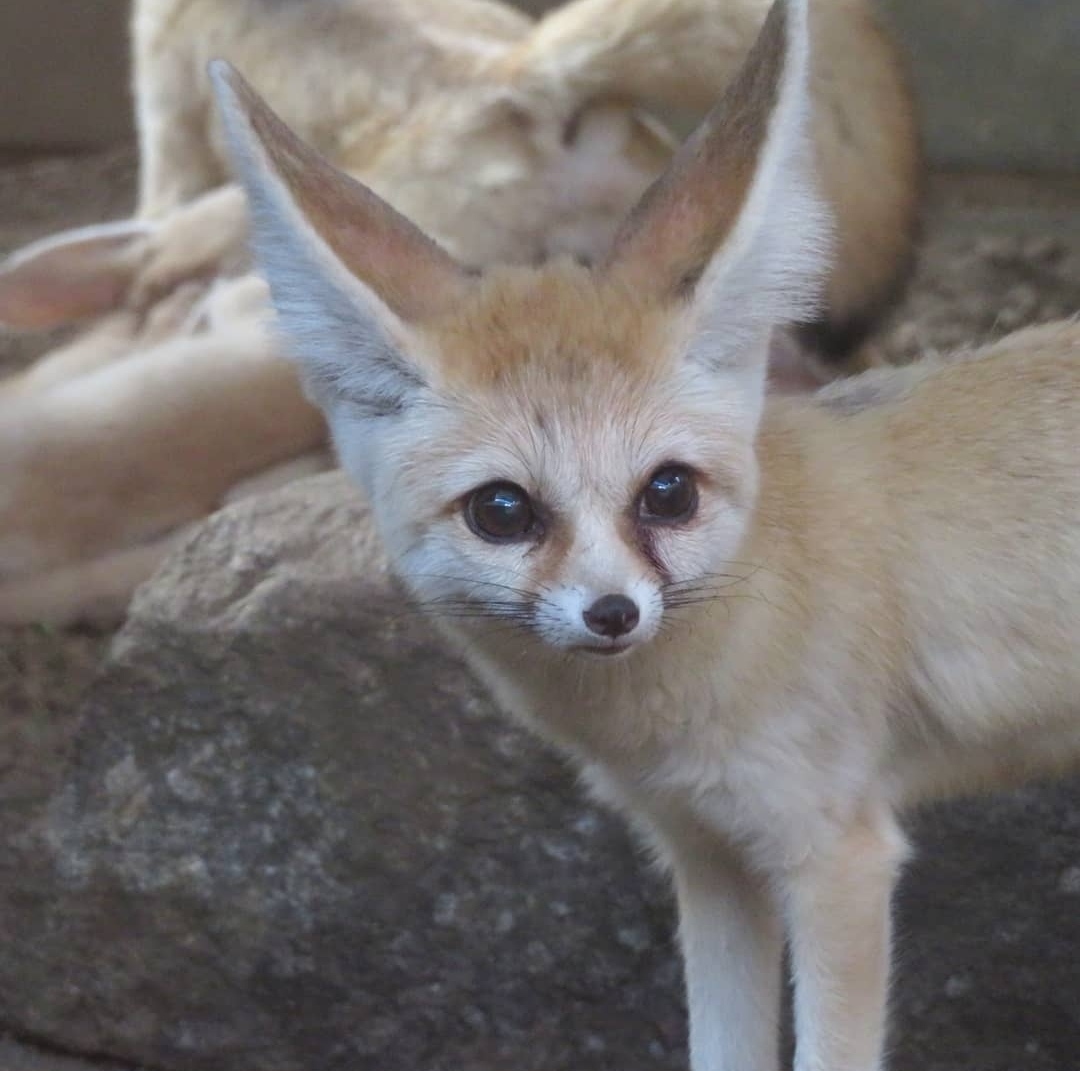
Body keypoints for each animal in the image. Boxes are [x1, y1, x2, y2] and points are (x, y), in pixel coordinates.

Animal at [212, 2, 1080, 1071]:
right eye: (503, 511)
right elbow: (721, 1045)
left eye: (667, 493)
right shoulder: (711, 861)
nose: (614, 611)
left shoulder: (837, 857)